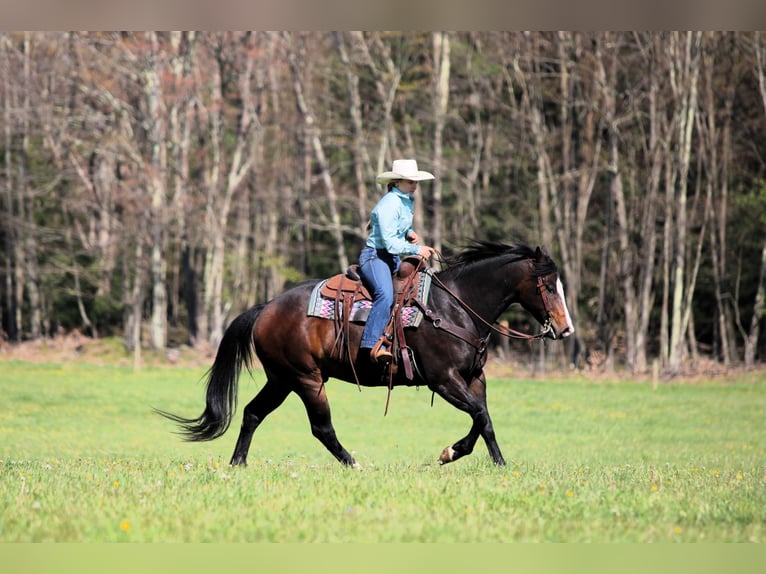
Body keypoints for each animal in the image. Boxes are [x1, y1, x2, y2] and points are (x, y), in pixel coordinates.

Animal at [157, 241, 574, 467]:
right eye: (548, 283)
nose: (566, 328)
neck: (455, 306)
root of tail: (265, 309)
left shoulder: (474, 377)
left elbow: (484, 419)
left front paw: (490, 461)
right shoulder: (444, 380)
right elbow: (479, 415)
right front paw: (453, 453)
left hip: (282, 379)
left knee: (252, 413)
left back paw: (238, 463)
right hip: (306, 379)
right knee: (321, 427)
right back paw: (354, 464)